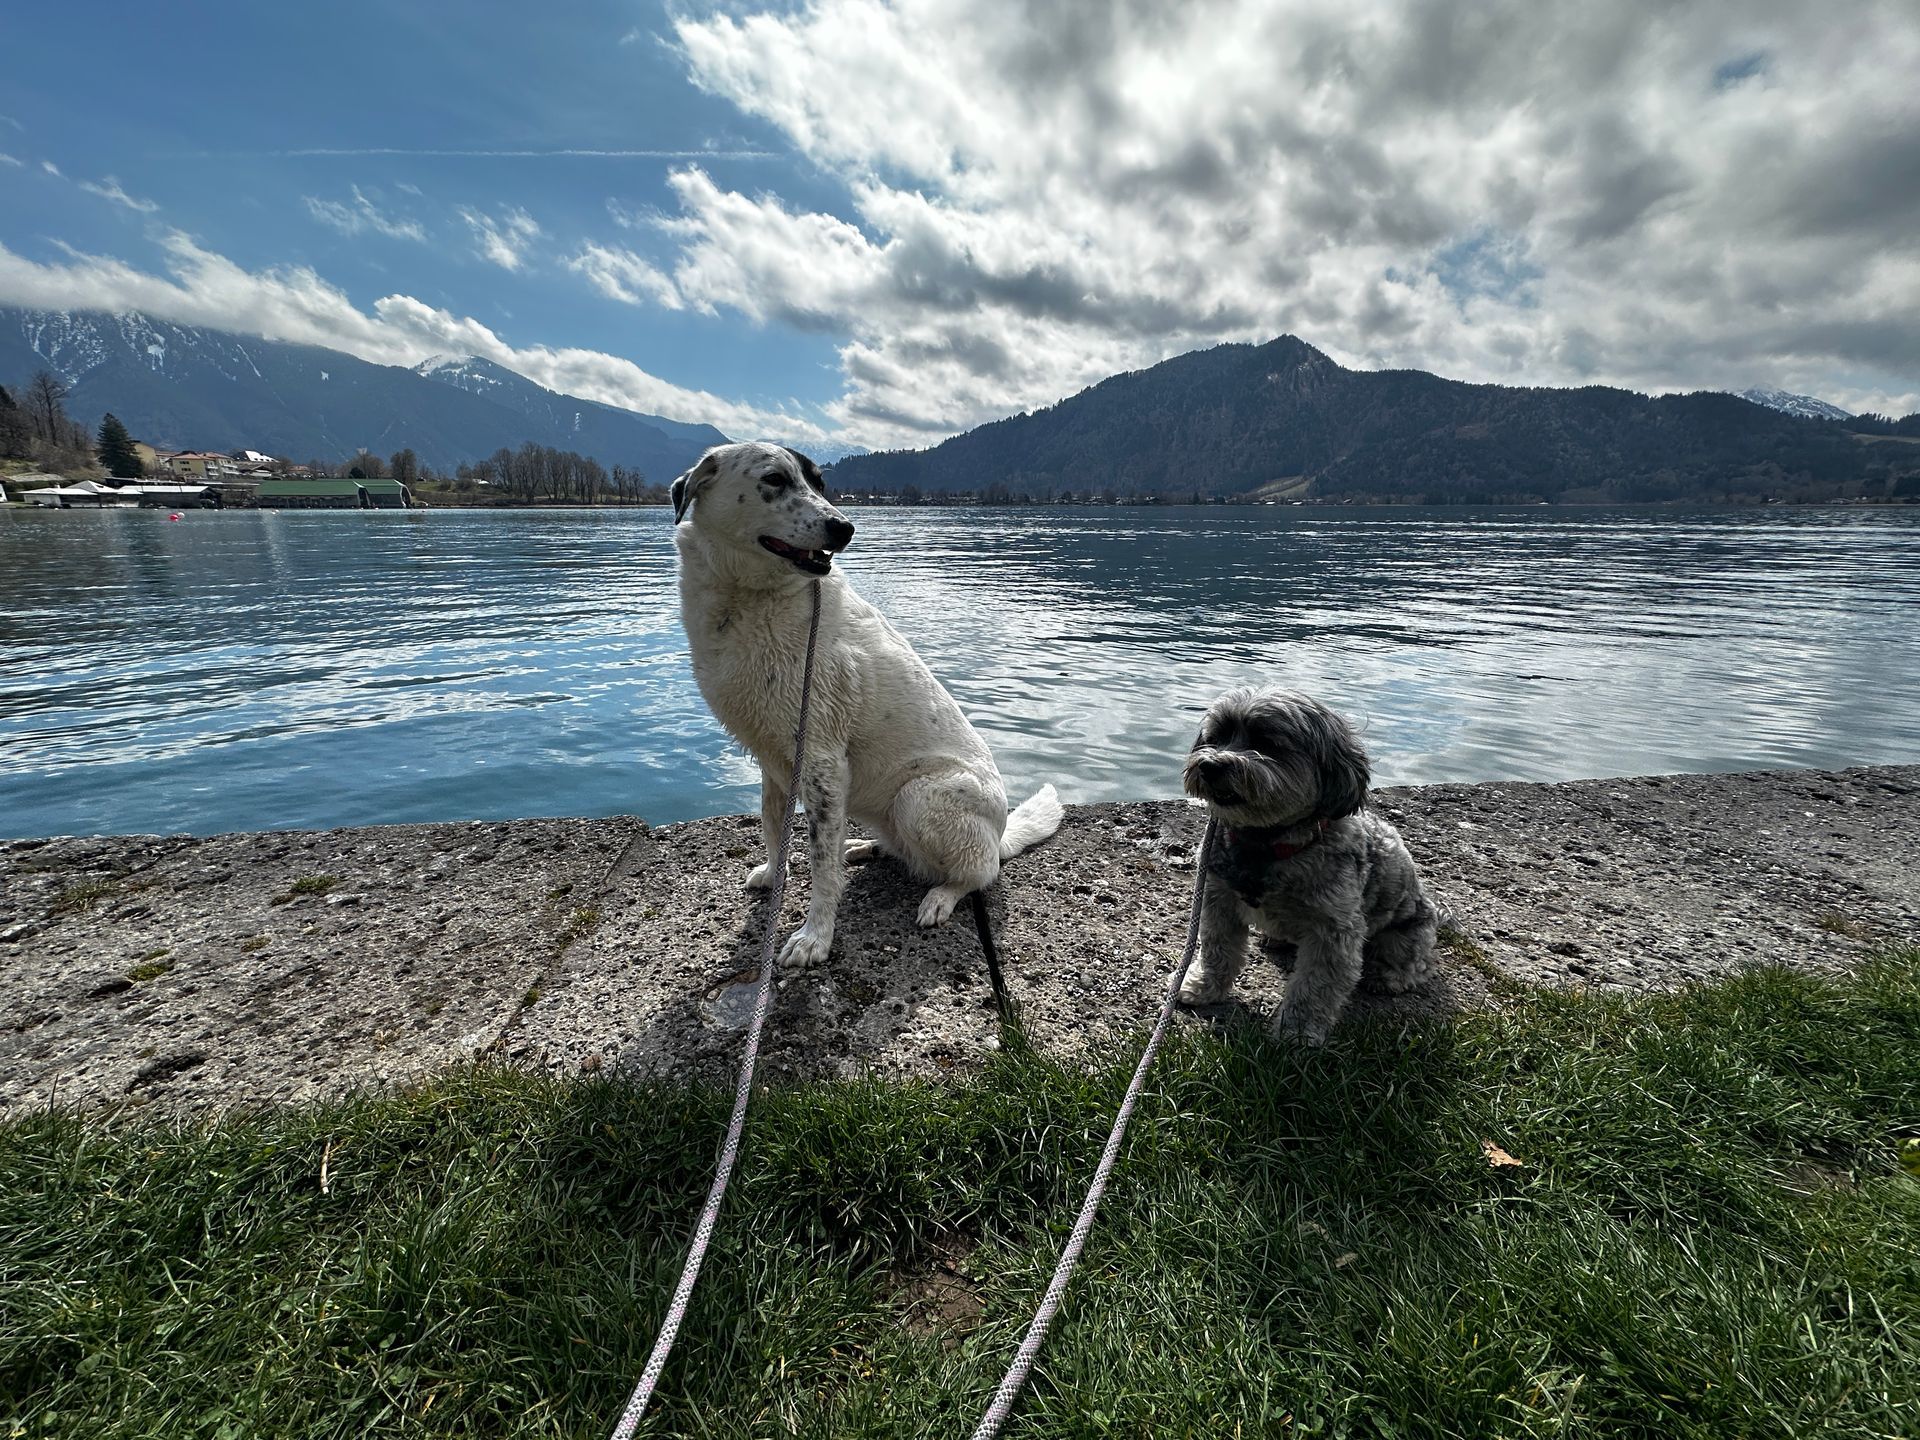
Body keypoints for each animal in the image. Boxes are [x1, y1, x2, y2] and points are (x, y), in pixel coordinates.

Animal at [671, 441, 1062, 967]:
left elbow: (820, 863)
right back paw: (864, 847)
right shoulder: (774, 760)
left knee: (978, 873)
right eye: (774, 479)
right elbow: (774, 827)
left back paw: (941, 896)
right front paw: (775, 876)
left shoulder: (821, 759)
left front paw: (815, 935)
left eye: (820, 483)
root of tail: (1000, 835)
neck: (750, 598)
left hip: (920, 798)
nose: (845, 527)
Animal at [1179, 688, 1436, 1044]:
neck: (1265, 844)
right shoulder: (1219, 900)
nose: (1209, 765)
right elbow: (1218, 950)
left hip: (1408, 933)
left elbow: (1315, 986)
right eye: (1216, 737)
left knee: (1412, 961)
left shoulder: (1334, 932)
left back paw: (1390, 976)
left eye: (1267, 742)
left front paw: (1297, 1031)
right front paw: (1204, 988)